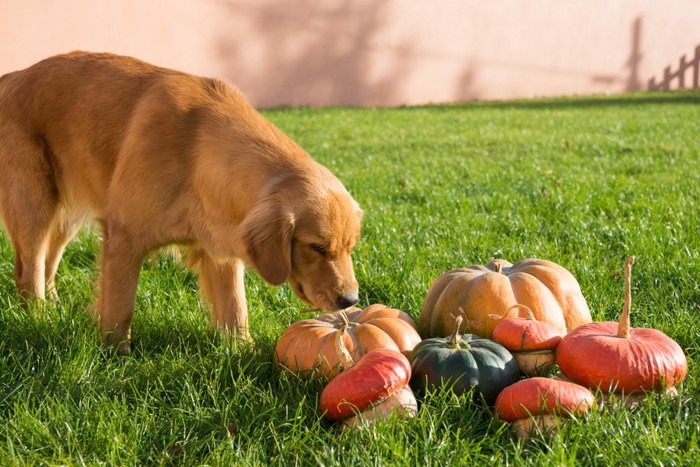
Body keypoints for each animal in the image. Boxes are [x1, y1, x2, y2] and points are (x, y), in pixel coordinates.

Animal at [0, 51, 360, 352]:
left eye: (350, 247)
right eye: (317, 248)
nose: (351, 299)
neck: (197, 150)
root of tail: (13, 76)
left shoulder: (221, 248)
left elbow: (236, 309)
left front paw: (244, 353)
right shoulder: (123, 239)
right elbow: (120, 308)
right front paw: (115, 355)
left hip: (65, 216)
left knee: (47, 263)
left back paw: (54, 306)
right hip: (34, 204)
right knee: (27, 270)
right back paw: (39, 317)